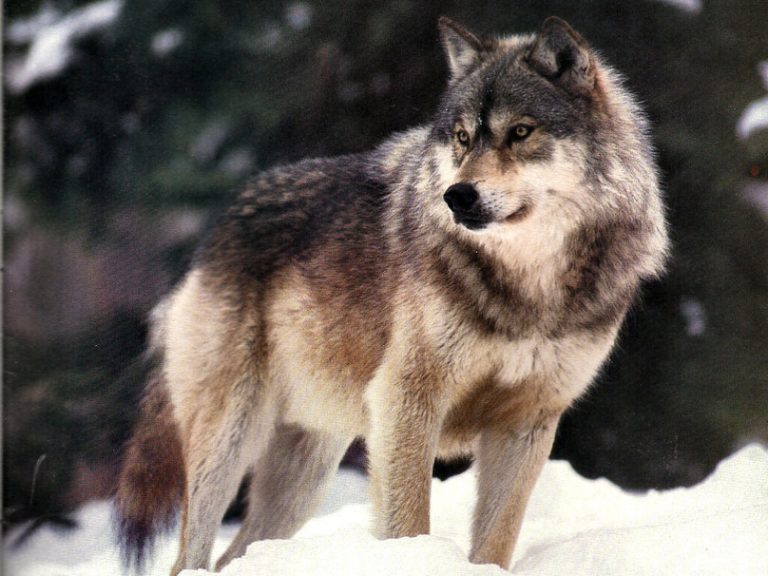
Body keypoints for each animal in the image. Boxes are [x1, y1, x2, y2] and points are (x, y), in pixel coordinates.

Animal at [115, 15, 668, 574]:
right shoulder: (406, 399)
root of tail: (216, 231)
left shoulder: (528, 421)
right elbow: (408, 519)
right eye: (462, 137)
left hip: (304, 474)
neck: (528, 288)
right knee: (190, 556)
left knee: (236, 554)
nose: (457, 196)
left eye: (520, 132)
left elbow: (495, 541)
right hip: (231, 438)